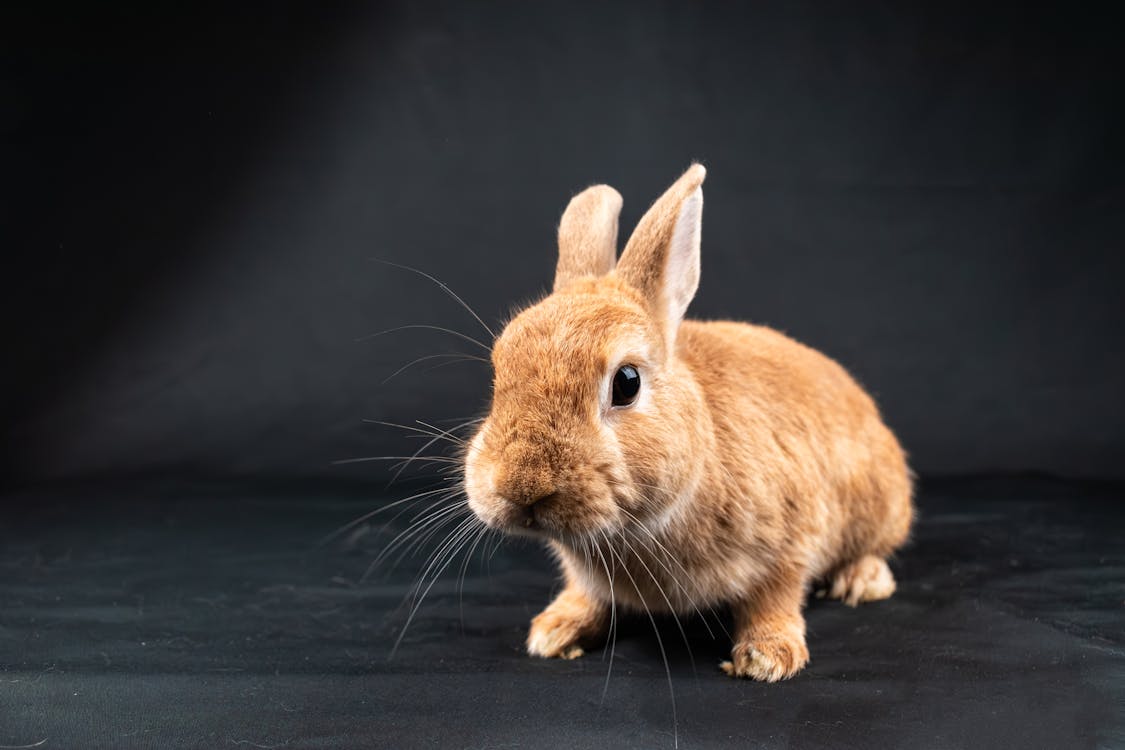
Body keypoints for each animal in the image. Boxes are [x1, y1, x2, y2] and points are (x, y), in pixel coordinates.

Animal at [461, 164, 909, 679]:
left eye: (627, 383)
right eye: (499, 369)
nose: (521, 486)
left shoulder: (790, 538)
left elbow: (775, 596)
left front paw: (766, 657)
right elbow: (588, 594)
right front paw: (555, 631)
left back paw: (862, 580)